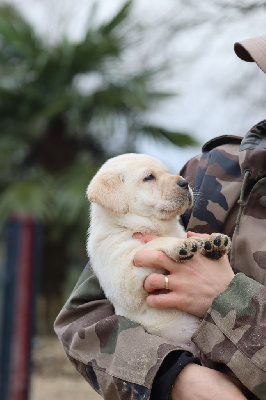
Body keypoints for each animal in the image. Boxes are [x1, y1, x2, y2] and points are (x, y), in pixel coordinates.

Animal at [86, 154, 230, 356]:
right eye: (149, 177)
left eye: (167, 172)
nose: (185, 182)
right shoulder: (123, 275)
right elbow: (151, 244)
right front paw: (180, 245)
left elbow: (182, 235)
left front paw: (211, 240)